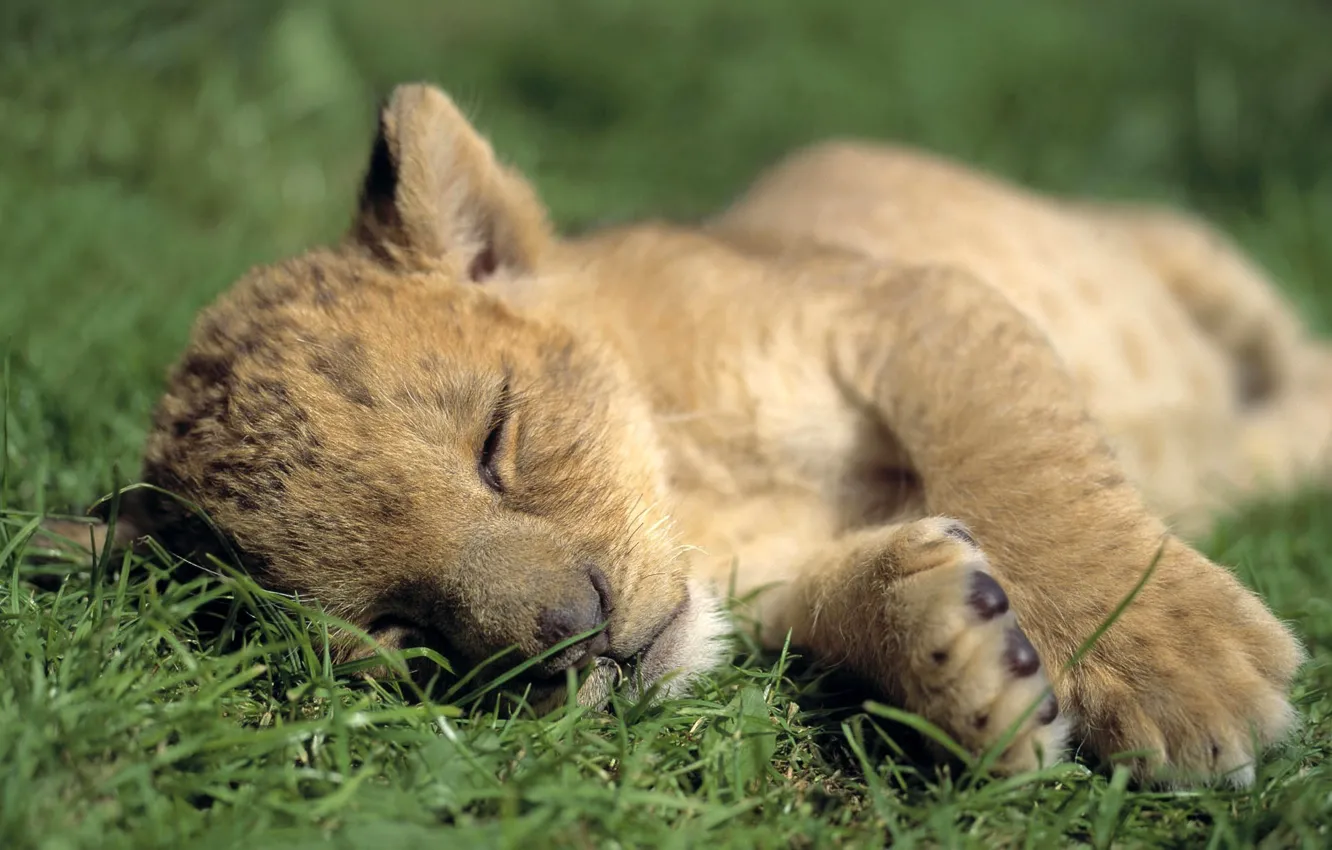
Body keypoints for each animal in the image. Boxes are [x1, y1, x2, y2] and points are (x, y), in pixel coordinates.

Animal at [46, 82, 1317, 786]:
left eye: (497, 442)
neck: (702, 493)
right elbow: (849, 597)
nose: (577, 638)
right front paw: (961, 657)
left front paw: (1179, 674)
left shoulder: (908, 302)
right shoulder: (772, 585)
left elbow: (1027, 468)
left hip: (1183, 249)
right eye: (399, 627)